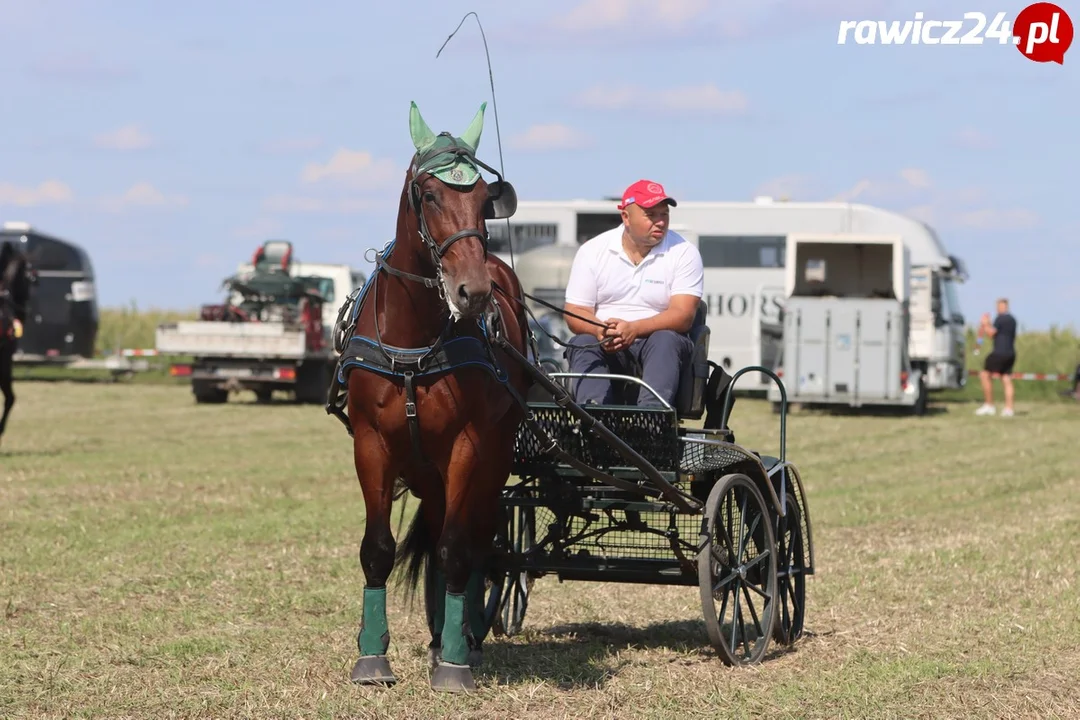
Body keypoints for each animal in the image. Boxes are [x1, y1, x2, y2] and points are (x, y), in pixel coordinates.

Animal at [328, 99, 531, 690]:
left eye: (485, 200)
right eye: (430, 193)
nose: (474, 291)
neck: (414, 343)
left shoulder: (468, 447)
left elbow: (458, 550)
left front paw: (456, 665)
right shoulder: (370, 444)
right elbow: (377, 550)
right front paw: (372, 657)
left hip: (490, 460)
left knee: (477, 540)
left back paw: (462, 641)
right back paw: (443, 634)